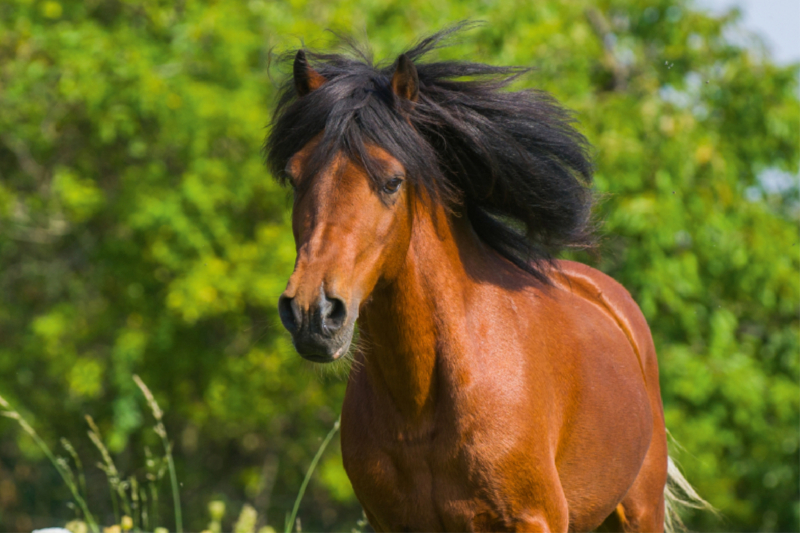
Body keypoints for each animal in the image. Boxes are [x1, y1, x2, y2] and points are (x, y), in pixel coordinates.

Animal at [266, 26, 704, 532]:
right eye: (295, 178)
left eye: (393, 181)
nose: (312, 313)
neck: (421, 404)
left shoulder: (534, 519)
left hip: (638, 511)